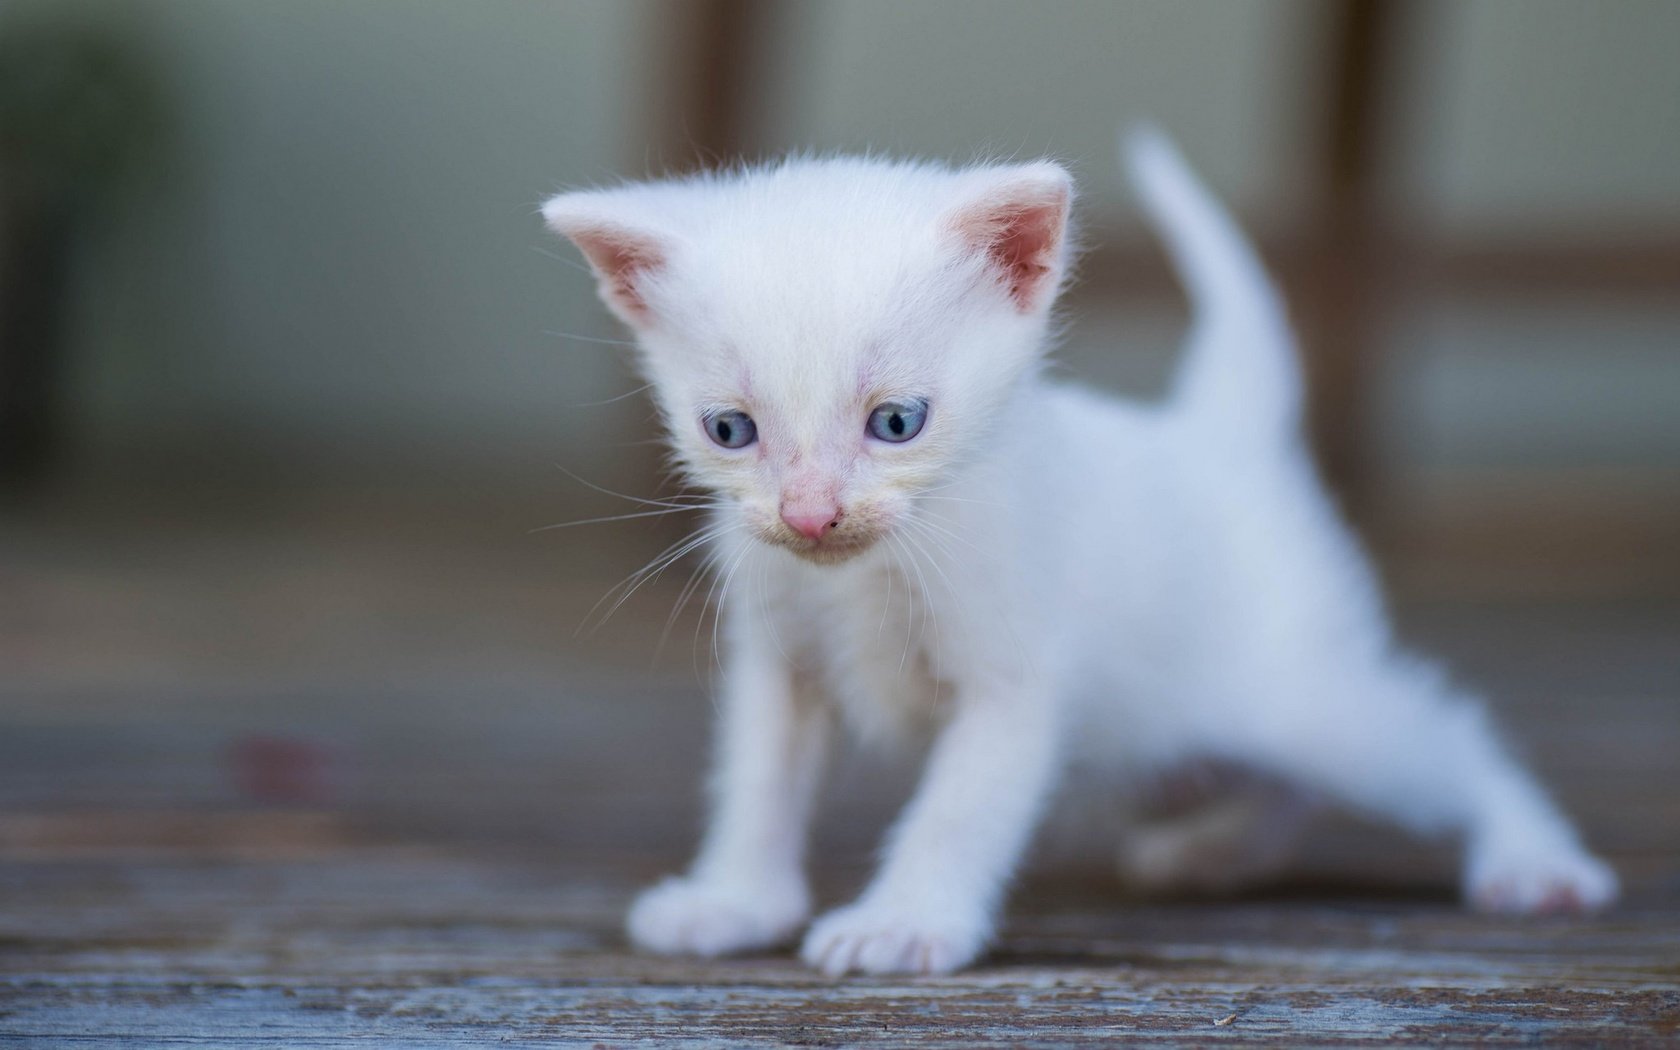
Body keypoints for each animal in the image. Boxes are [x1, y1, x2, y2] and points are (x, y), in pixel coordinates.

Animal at [537, 129, 1612, 974]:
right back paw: (1219, 850)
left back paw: (1534, 860)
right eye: (729, 430)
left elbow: (960, 807)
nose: (808, 516)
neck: (873, 573)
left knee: (1444, 738)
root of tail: (1217, 436)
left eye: (897, 421)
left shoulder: (1016, 682)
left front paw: (904, 923)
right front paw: (736, 901)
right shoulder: (782, 662)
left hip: (1306, 698)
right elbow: (756, 782)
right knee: (1277, 780)